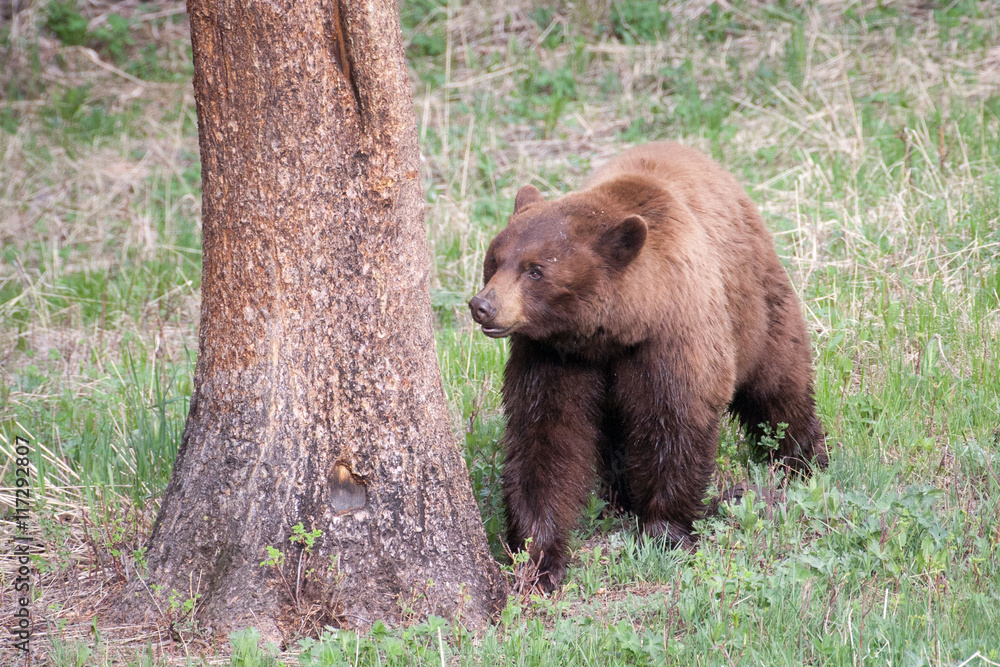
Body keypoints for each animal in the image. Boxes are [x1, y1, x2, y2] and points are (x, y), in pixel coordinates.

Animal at [468, 141, 827, 592]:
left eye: (535, 270)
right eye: (495, 259)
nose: (482, 306)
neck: (612, 330)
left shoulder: (673, 333)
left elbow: (673, 420)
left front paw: (664, 530)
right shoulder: (552, 355)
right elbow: (545, 437)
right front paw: (537, 558)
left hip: (755, 301)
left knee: (779, 380)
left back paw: (802, 459)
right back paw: (619, 499)